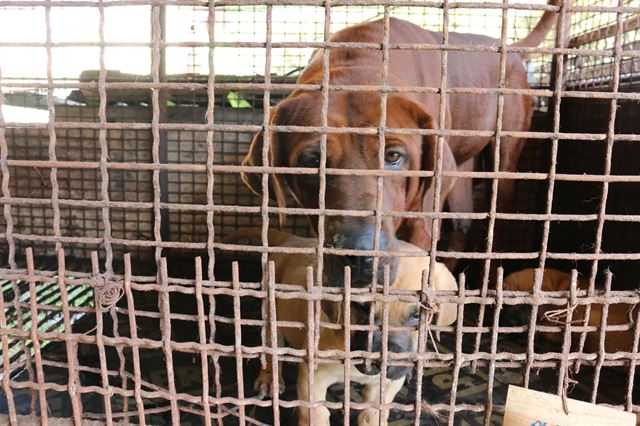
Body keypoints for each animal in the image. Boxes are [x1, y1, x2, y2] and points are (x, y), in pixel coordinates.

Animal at [238, 230, 458, 426]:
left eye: (417, 314)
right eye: (363, 307)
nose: (381, 363)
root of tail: (294, 239)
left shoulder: (387, 384)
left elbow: (373, 414)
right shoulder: (313, 375)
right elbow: (316, 413)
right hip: (269, 313)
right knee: (270, 348)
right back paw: (269, 379)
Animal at [242, 2, 564, 286]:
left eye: (394, 156)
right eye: (311, 161)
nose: (358, 255)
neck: (356, 64)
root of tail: (509, 48)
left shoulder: (421, 217)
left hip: (504, 154)